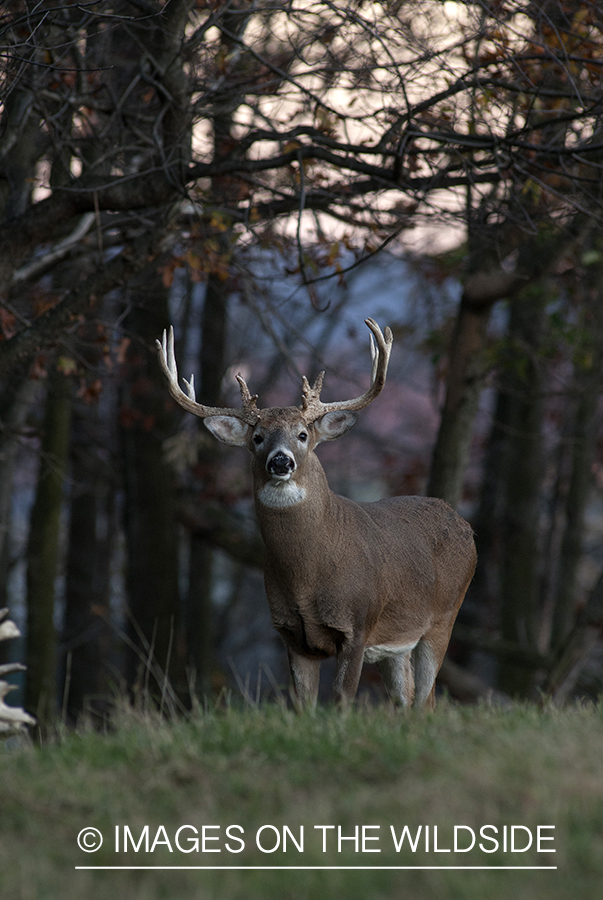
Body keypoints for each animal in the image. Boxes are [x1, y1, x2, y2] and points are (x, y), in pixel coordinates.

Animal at [156, 320, 476, 708]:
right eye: (258, 437)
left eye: (302, 434)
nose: (280, 461)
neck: (308, 576)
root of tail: (465, 525)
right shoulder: (291, 634)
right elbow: (302, 704)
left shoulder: (358, 625)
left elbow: (341, 699)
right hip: (397, 642)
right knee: (409, 698)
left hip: (444, 617)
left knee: (424, 699)